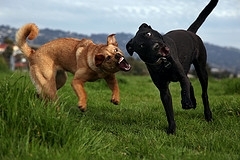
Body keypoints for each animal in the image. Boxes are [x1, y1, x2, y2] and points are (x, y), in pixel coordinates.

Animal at [126, 0, 218, 134]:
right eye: (141, 45)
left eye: (148, 33)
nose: (156, 46)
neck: (163, 63)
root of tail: (190, 32)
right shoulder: (163, 90)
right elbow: (169, 111)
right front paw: (171, 130)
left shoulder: (181, 75)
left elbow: (184, 87)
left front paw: (186, 102)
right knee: (190, 83)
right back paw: (194, 102)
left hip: (201, 69)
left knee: (203, 93)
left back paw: (207, 115)